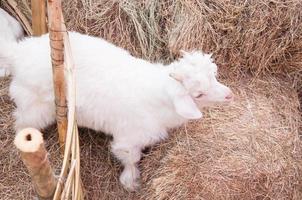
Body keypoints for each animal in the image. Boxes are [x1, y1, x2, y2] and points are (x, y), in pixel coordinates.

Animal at [0, 31, 232, 191]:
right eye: (199, 94)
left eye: (214, 76)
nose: (229, 95)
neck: (160, 100)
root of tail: (18, 53)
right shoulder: (128, 139)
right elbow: (131, 158)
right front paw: (131, 182)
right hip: (34, 105)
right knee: (21, 121)